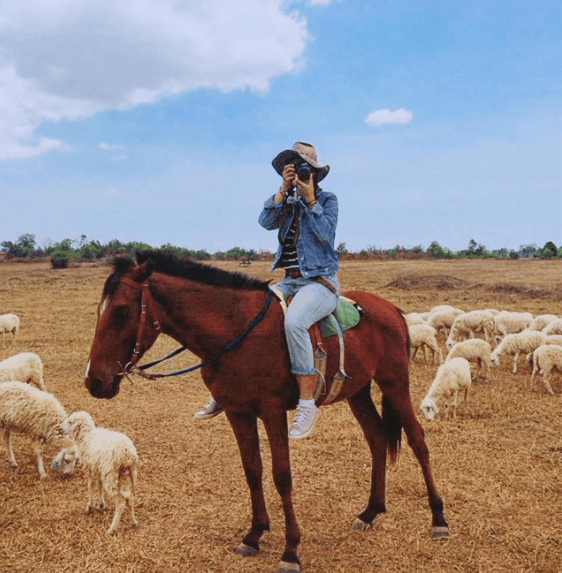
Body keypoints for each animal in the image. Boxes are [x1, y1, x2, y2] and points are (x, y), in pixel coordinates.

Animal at [60, 408, 138, 536]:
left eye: (71, 422)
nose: (60, 429)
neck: (87, 436)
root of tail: (127, 453)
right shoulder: (99, 468)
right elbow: (99, 484)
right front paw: (101, 505)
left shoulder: (90, 467)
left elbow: (90, 485)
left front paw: (90, 506)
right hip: (126, 474)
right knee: (130, 497)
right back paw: (133, 522)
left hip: (111, 474)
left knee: (120, 502)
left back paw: (112, 528)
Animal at [85, 250, 448, 572]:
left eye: (120, 312)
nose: (94, 380)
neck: (236, 331)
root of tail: (391, 309)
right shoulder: (238, 412)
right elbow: (253, 470)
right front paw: (254, 534)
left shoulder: (272, 412)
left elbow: (281, 476)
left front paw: (291, 550)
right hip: (357, 392)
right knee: (376, 438)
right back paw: (371, 511)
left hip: (394, 383)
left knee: (418, 441)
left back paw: (438, 518)